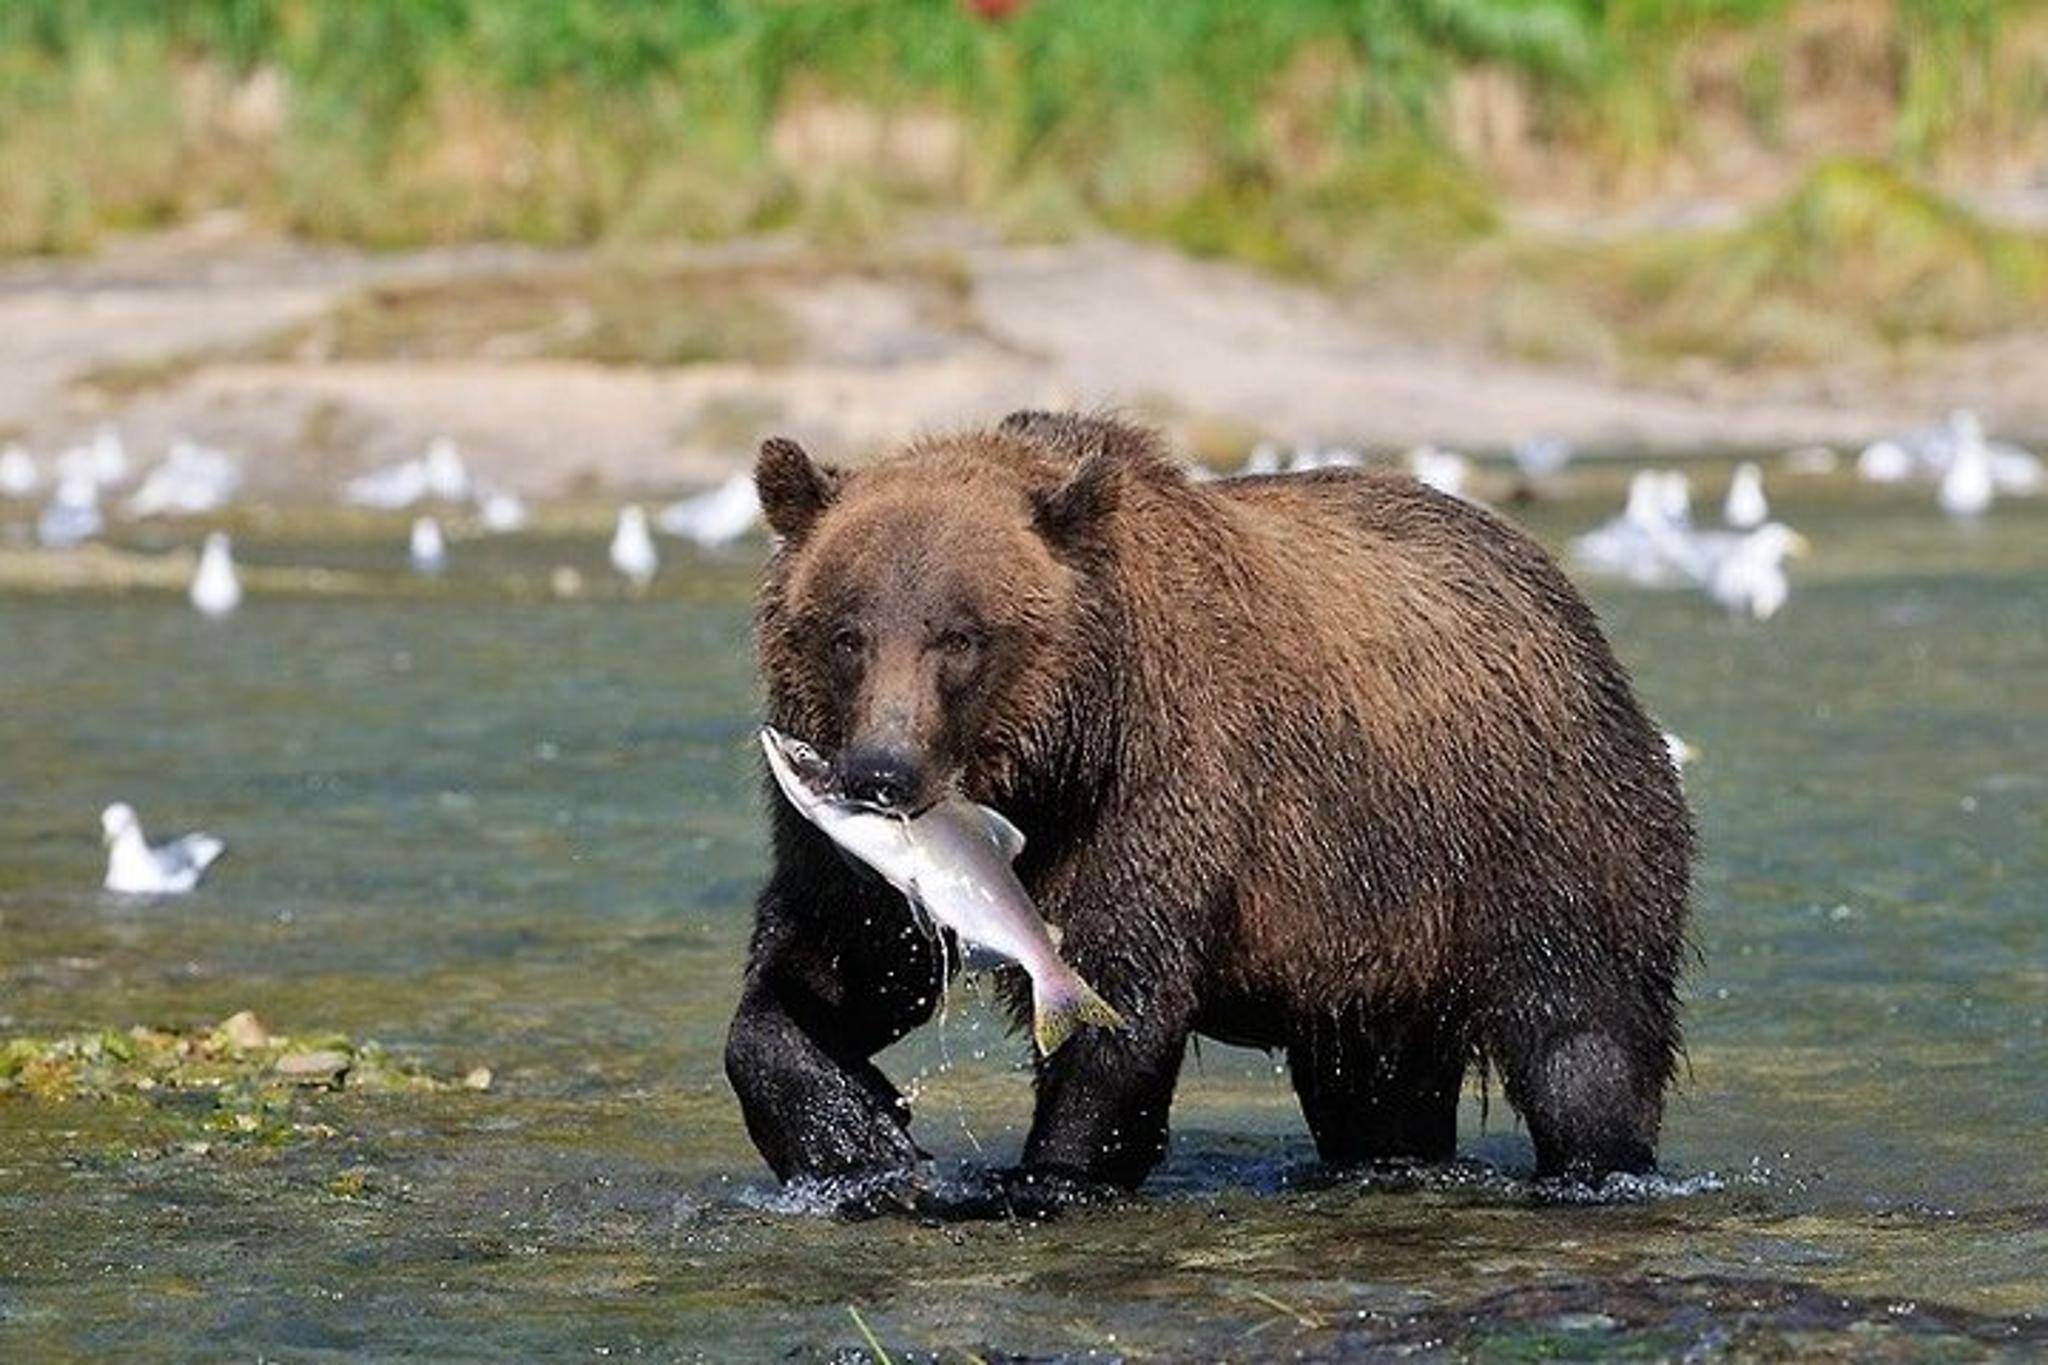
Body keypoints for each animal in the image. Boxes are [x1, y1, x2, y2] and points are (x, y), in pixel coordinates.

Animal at [725, 411, 1692, 1205]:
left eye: (961, 636)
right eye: (846, 632)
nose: (881, 773)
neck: (1047, 763)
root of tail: (1560, 592)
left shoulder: (1157, 783)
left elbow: (1120, 1000)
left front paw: (1050, 1172)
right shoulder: (855, 858)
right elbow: (827, 970)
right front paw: (860, 1139)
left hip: (1535, 830)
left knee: (1583, 1037)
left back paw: (1597, 1163)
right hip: (1381, 937)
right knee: (1378, 1087)